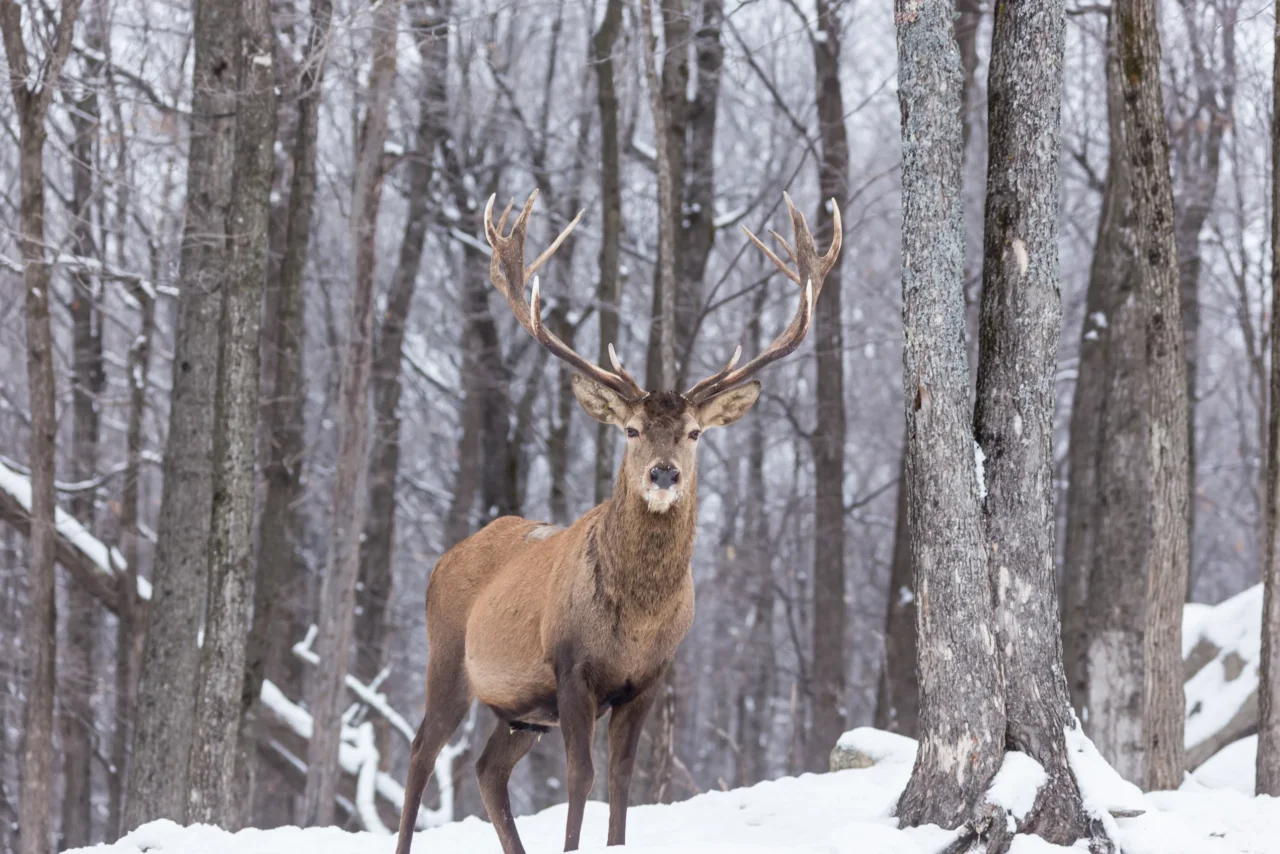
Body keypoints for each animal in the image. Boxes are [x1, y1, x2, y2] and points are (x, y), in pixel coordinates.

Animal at [394, 189, 840, 854]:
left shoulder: (649, 678)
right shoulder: (571, 666)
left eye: (695, 432)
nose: (663, 473)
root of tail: (443, 561)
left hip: (521, 709)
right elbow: (582, 777)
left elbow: (623, 780)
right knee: (422, 750)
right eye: (630, 430)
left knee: (486, 768)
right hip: (446, 653)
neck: (637, 621)